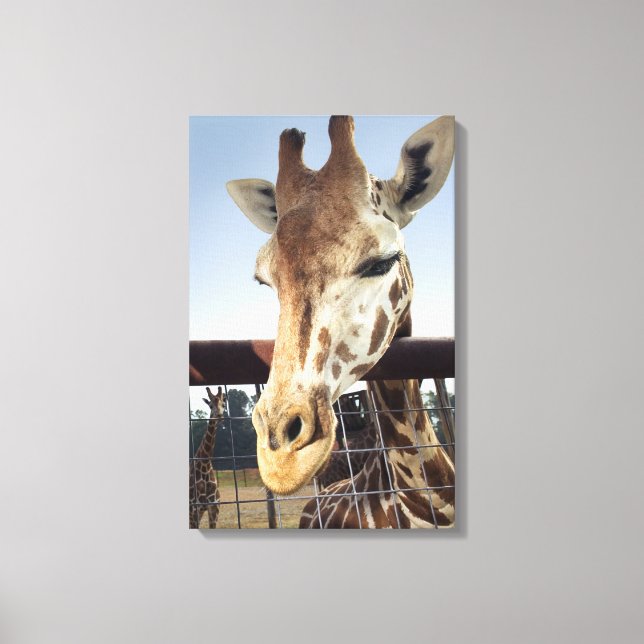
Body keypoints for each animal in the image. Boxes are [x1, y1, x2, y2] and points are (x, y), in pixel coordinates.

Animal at [189, 386, 226, 529]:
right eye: (210, 405)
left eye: (223, 404)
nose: (220, 416)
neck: (205, 464)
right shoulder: (194, 509)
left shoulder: (214, 508)